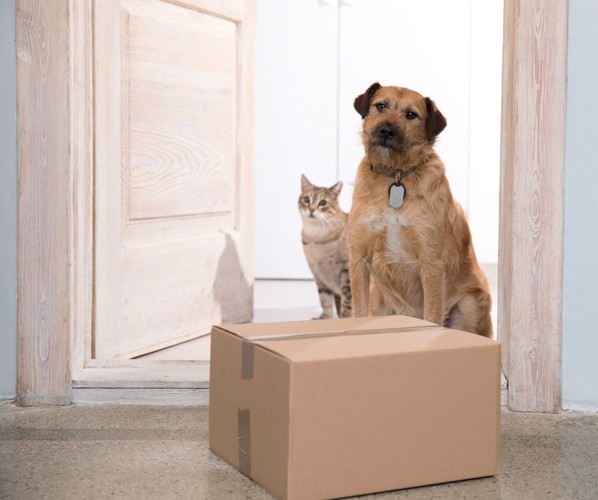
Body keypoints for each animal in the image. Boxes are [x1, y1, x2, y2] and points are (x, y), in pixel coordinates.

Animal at [298, 174, 352, 318]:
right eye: (306, 199)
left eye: (322, 203)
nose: (311, 209)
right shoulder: (318, 275)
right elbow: (325, 300)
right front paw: (325, 318)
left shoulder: (346, 271)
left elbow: (348, 301)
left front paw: (345, 317)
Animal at [350, 84, 494, 338]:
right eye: (380, 105)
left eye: (411, 115)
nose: (386, 131)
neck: (395, 176)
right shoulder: (358, 256)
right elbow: (358, 310)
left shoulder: (432, 264)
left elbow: (432, 315)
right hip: (378, 298)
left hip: (468, 306)